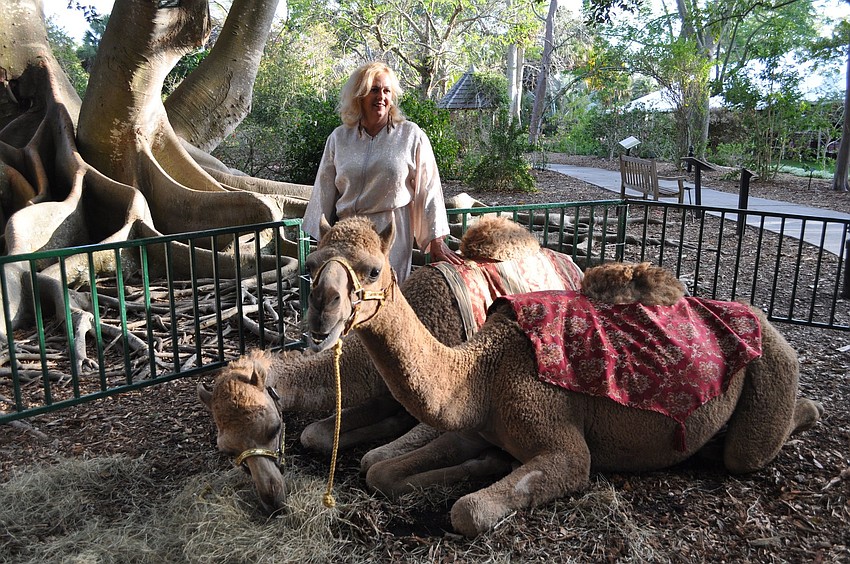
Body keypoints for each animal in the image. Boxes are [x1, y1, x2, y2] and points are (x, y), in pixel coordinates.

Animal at [304, 216, 823, 537]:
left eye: (373, 270)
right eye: (310, 265)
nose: (321, 314)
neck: (482, 371)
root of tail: (763, 320)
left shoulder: (563, 444)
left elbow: (468, 509)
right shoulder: (479, 425)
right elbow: (381, 470)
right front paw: (483, 465)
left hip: (772, 365)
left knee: (754, 447)